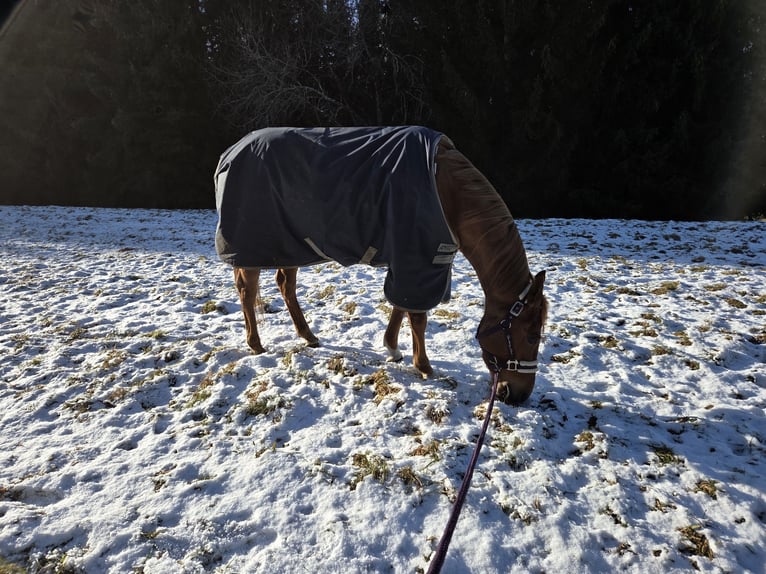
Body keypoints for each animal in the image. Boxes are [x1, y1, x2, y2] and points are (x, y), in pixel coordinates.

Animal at [214, 126, 547, 404]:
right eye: (532, 336)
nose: (517, 395)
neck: (447, 192)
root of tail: (229, 153)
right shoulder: (417, 259)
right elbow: (417, 317)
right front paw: (424, 366)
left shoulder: (411, 261)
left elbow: (401, 306)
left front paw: (393, 348)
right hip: (255, 246)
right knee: (247, 290)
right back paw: (256, 344)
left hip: (291, 244)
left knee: (285, 284)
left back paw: (308, 336)